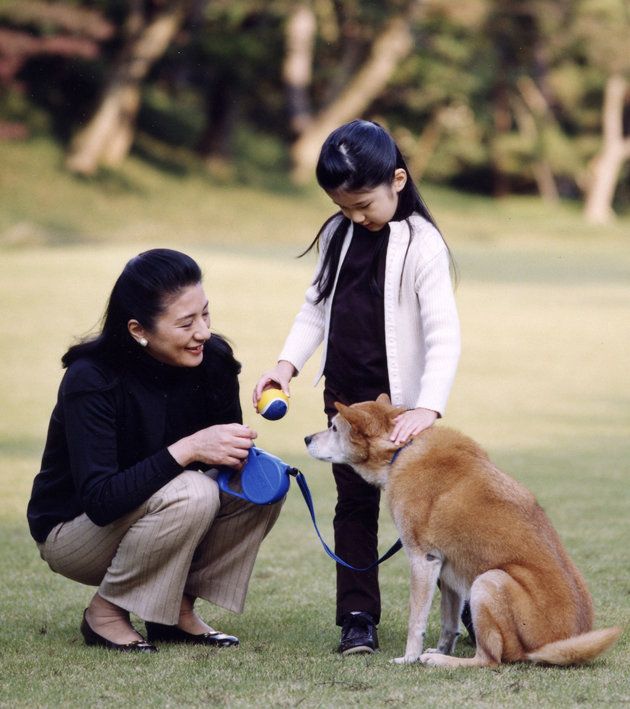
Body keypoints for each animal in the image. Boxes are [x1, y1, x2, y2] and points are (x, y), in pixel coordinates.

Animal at [304, 396, 624, 668]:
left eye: (334, 427)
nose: (306, 438)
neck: (401, 452)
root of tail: (564, 643)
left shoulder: (423, 561)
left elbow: (415, 622)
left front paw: (410, 658)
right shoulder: (447, 570)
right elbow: (449, 623)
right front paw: (439, 648)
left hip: (489, 581)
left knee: (490, 660)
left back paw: (443, 662)